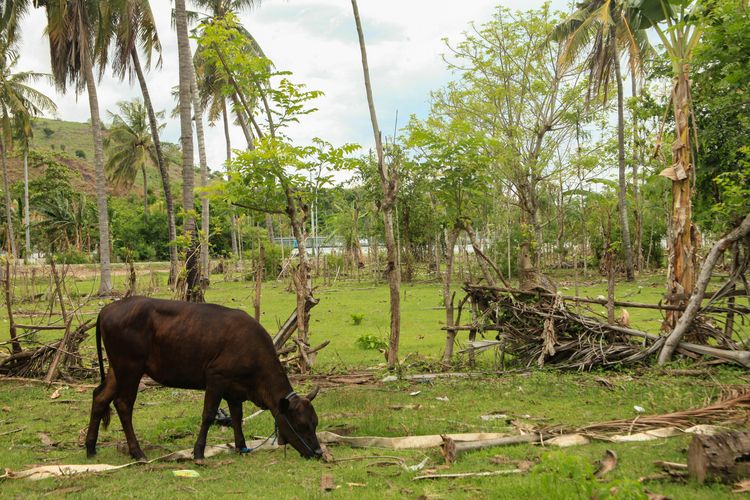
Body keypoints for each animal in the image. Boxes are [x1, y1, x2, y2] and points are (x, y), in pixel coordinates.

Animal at [84, 296, 324, 460]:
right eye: (301, 425)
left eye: (315, 422)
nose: (318, 452)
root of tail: (108, 308)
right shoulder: (216, 378)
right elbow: (208, 415)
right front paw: (198, 452)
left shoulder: (234, 389)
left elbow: (237, 417)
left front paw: (241, 447)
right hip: (130, 368)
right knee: (123, 404)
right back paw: (137, 452)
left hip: (117, 369)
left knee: (100, 398)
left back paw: (90, 448)